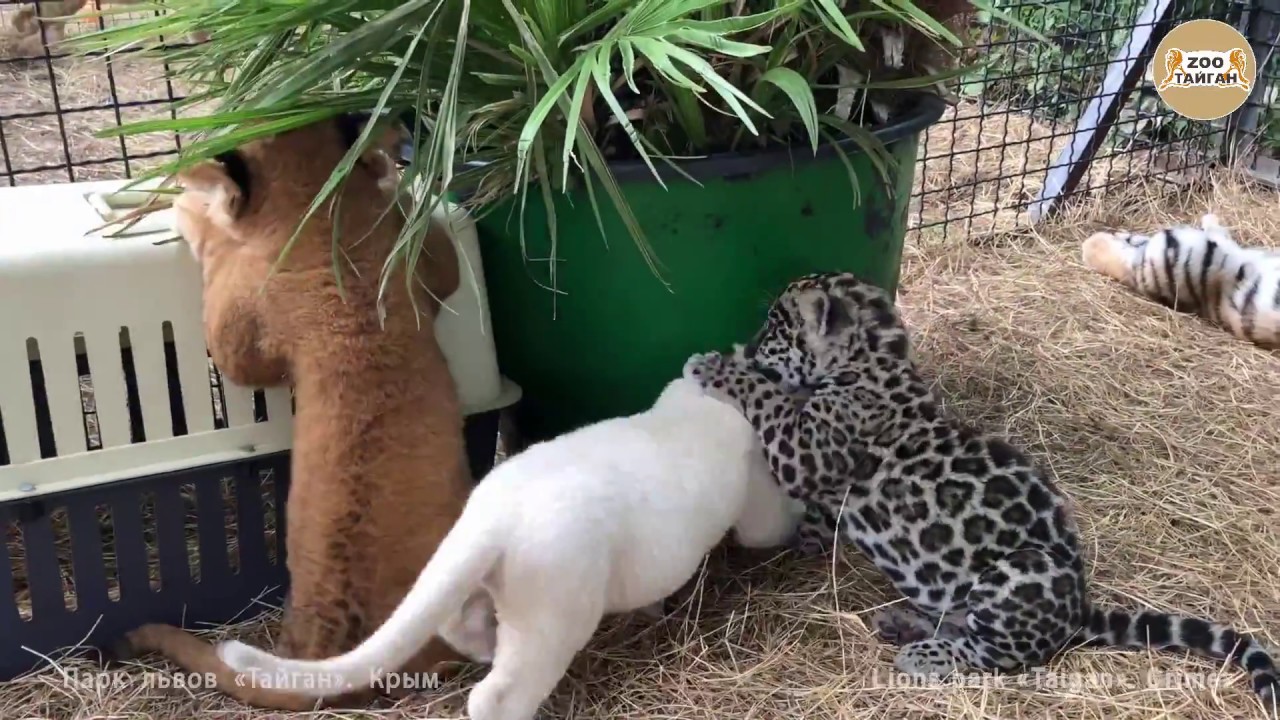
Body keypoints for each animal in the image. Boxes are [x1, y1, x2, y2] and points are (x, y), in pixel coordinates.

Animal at [111, 113, 485, 710]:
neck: (321, 209)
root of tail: (323, 654)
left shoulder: (236, 334)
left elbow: (217, 262)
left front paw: (188, 205)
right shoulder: (424, 262)